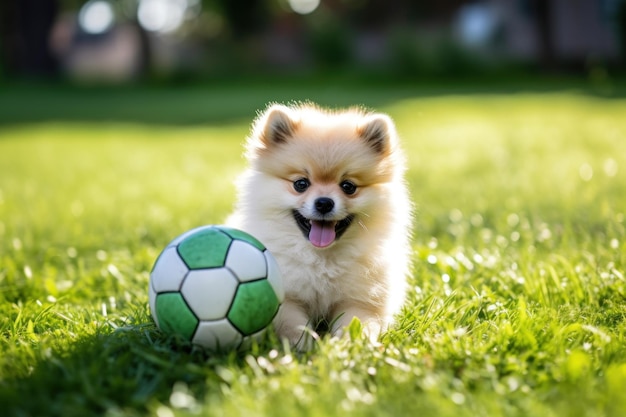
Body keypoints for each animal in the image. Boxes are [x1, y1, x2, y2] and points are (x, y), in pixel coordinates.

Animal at [227, 102, 412, 350]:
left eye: (348, 186)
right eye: (301, 184)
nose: (324, 203)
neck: (322, 259)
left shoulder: (361, 300)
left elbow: (357, 324)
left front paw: (347, 346)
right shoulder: (285, 299)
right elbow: (292, 323)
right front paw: (304, 346)